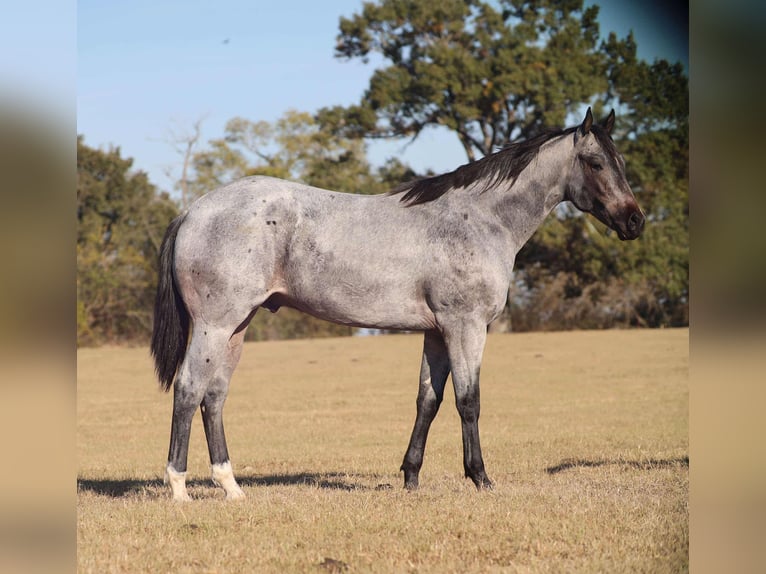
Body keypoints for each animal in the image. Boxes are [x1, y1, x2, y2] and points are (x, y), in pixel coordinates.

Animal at [152, 107, 648, 500]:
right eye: (595, 162)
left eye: (621, 162)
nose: (635, 220)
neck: (479, 219)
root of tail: (193, 210)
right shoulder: (465, 326)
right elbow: (469, 400)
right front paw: (480, 478)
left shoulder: (436, 332)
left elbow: (428, 401)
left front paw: (410, 478)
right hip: (216, 326)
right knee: (189, 390)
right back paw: (179, 489)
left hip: (236, 328)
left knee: (214, 397)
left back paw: (231, 487)